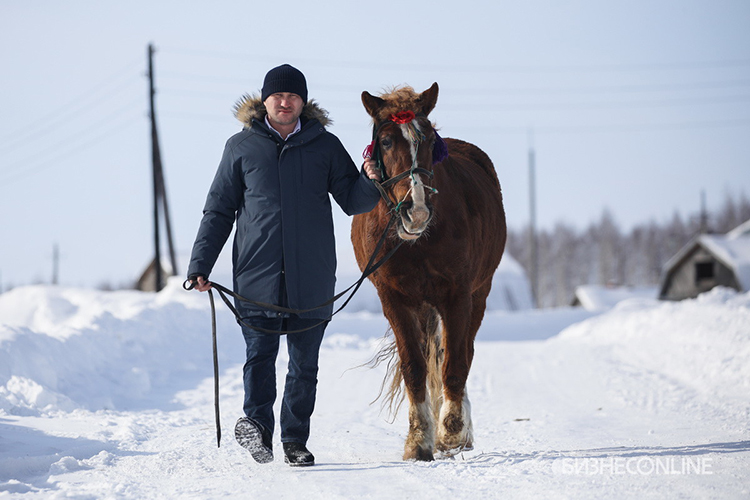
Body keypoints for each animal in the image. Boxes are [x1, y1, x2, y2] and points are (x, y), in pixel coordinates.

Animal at [354, 82, 508, 460]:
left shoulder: (458, 295)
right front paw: (418, 438)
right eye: (386, 141)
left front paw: (450, 433)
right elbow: (414, 367)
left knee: (461, 353)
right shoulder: (394, 299)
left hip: (477, 295)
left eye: (428, 141)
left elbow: (454, 363)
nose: (417, 210)